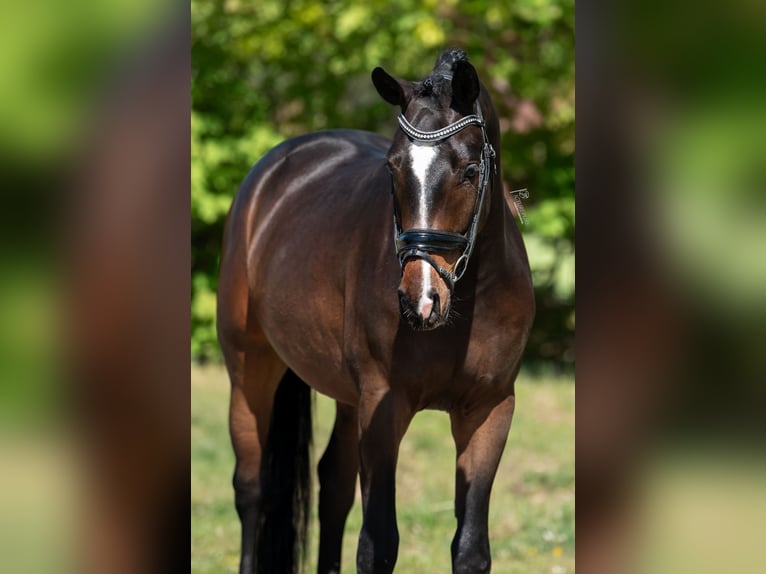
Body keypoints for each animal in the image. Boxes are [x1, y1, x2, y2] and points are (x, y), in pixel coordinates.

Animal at [217, 49, 535, 574]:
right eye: (392, 169)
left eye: (470, 170)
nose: (420, 299)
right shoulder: (384, 406)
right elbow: (378, 544)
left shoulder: (489, 410)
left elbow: (470, 548)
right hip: (250, 370)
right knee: (251, 489)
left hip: (348, 398)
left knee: (333, 486)